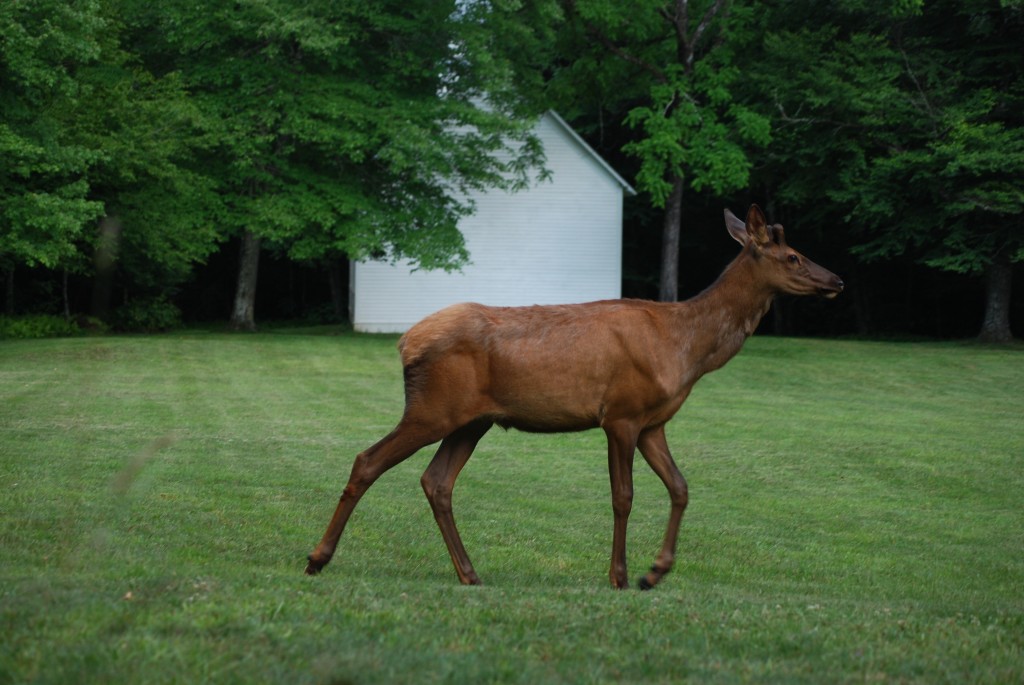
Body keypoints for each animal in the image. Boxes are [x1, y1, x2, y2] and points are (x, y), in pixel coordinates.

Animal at [301, 201, 839, 589]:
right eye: (792, 255)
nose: (836, 279)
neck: (687, 350)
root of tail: (405, 343)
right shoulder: (620, 414)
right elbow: (623, 496)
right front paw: (620, 575)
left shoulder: (653, 422)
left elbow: (681, 487)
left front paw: (655, 572)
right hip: (433, 408)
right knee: (368, 460)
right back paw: (317, 558)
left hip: (471, 420)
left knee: (437, 482)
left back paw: (470, 573)